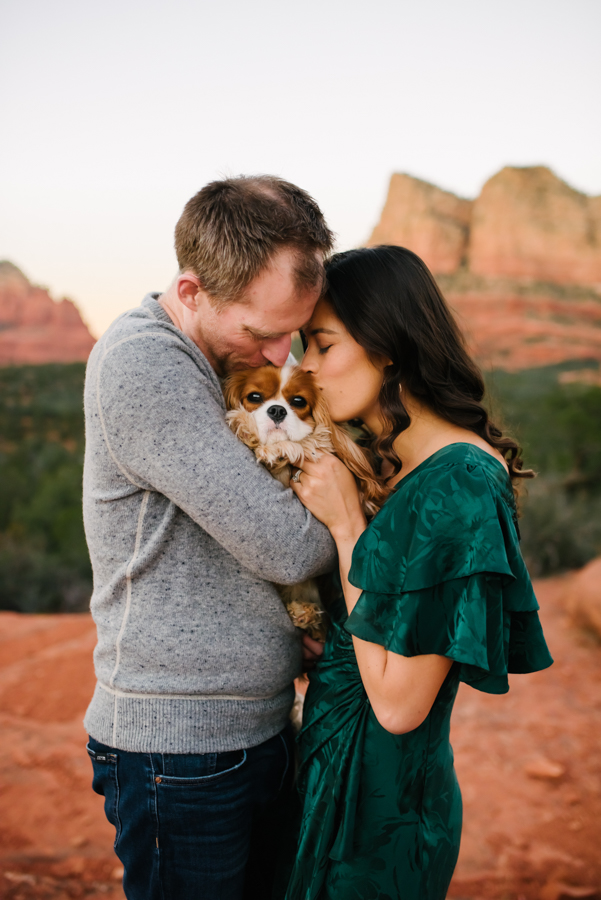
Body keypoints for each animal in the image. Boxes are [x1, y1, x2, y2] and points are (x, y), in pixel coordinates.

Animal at [223, 362, 386, 644]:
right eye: (254, 396)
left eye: (298, 401)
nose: (277, 410)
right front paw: (245, 425)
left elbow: (313, 440)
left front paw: (277, 448)